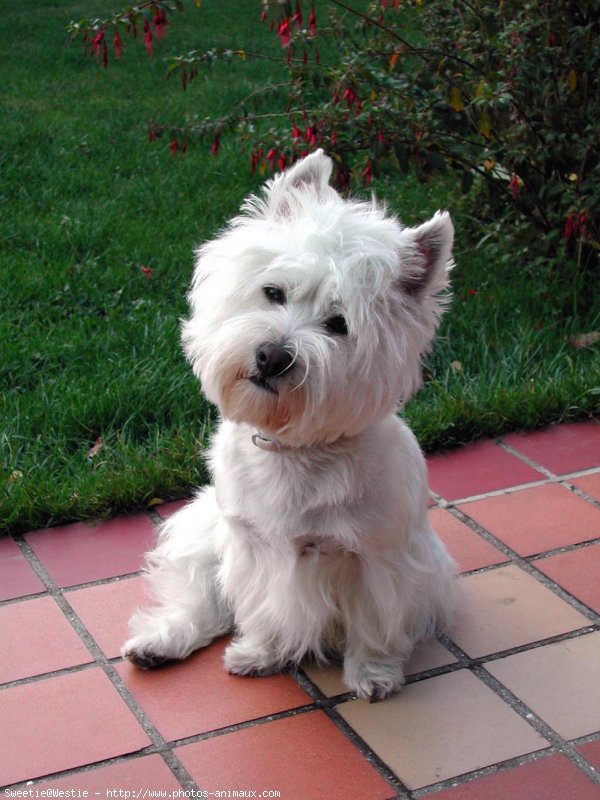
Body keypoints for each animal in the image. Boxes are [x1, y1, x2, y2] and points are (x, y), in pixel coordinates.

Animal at [124, 150, 458, 700]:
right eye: (273, 291)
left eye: (339, 324)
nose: (272, 356)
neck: (294, 450)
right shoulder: (251, 546)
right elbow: (259, 606)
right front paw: (260, 652)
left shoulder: (379, 559)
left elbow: (375, 621)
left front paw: (373, 674)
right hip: (203, 534)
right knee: (202, 600)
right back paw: (158, 643)